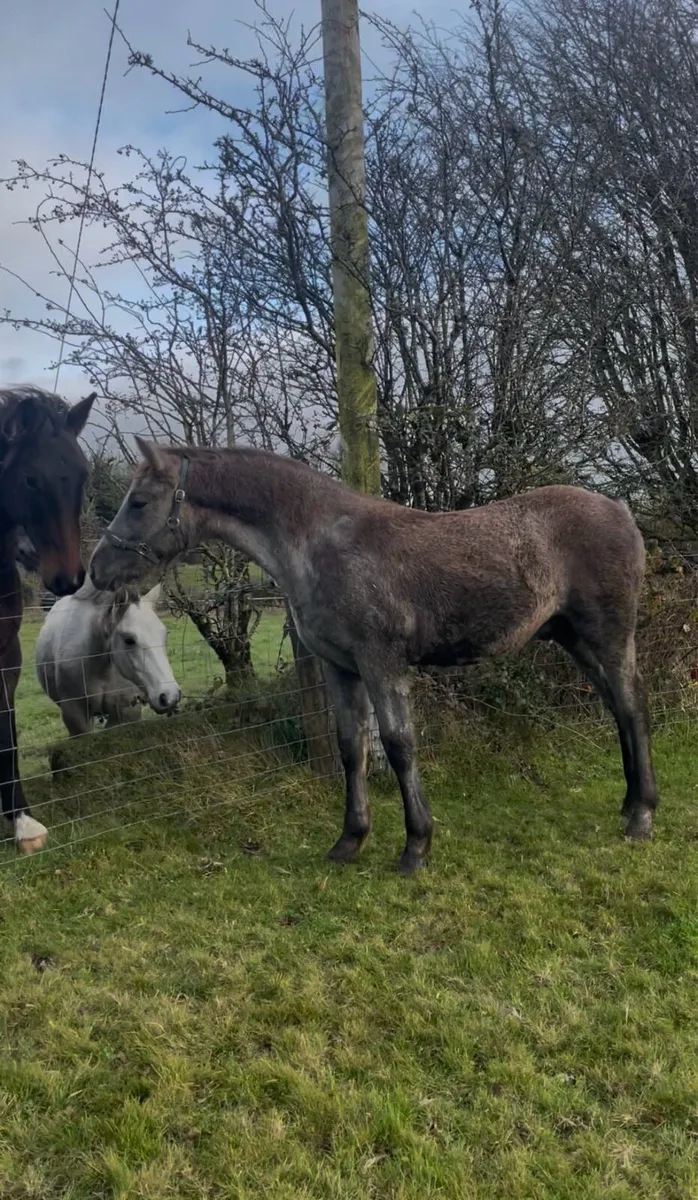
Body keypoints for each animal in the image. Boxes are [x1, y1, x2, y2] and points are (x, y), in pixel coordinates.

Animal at [89, 438, 658, 875]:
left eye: (139, 501)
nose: (97, 569)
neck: (321, 542)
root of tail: (621, 510)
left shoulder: (381, 662)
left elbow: (399, 745)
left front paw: (416, 847)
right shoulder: (341, 668)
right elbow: (351, 749)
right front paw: (349, 841)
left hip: (608, 635)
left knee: (632, 707)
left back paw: (642, 817)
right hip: (574, 640)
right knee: (618, 710)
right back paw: (630, 803)